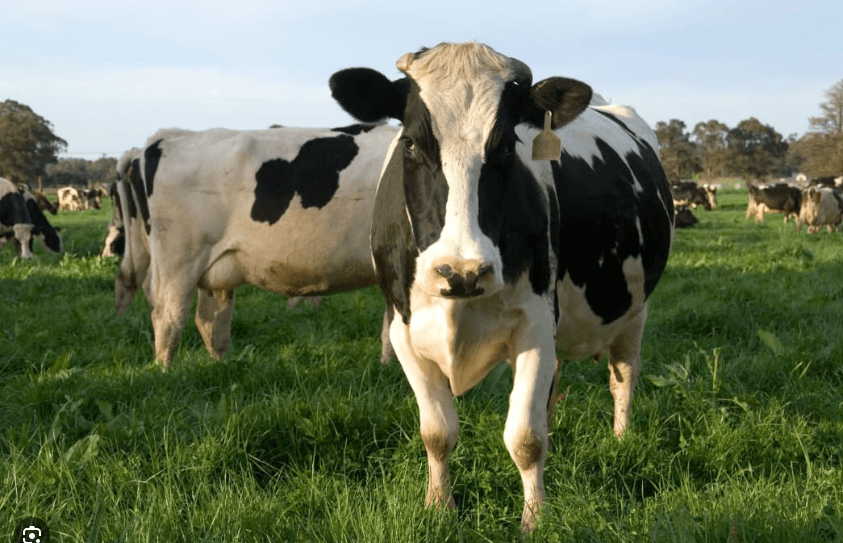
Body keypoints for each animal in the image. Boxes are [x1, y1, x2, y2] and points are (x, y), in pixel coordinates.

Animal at [125, 123, 399, 368]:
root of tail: (169, 135)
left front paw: (387, 368)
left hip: (212, 271)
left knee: (209, 321)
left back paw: (222, 367)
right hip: (179, 263)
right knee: (168, 317)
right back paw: (166, 372)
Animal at [329, 42, 674, 532]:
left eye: (508, 145)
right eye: (410, 143)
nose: (462, 271)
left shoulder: (536, 325)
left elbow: (525, 438)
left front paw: (535, 518)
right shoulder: (403, 330)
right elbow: (437, 431)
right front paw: (439, 507)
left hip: (633, 310)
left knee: (623, 376)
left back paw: (622, 440)